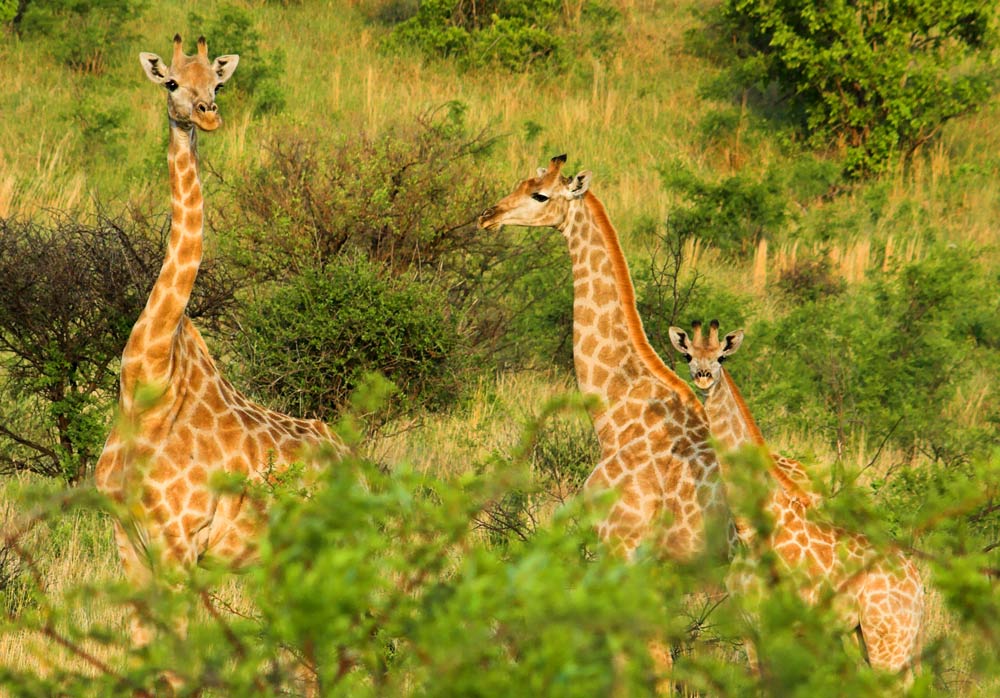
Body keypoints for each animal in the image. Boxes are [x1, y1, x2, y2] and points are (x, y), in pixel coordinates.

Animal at [95, 34, 344, 652]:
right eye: (171, 83)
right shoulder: (126, 539)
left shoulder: (181, 541)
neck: (149, 376)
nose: (208, 115)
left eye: (218, 82)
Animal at [668, 320, 924, 680]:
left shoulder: (782, 621)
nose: (703, 376)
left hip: (888, 636)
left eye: (721, 357)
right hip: (870, 636)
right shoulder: (750, 625)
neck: (750, 528)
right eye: (689, 355)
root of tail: (919, 586)